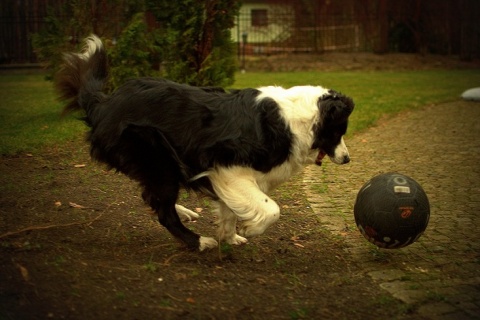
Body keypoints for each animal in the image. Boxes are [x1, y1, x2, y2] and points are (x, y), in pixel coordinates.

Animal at [56, 36, 354, 251]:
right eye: (340, 130)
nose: (348, 159)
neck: (298, 120)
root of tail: (103, 103)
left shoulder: (231, 176)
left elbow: (230, 209)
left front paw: (229, 236)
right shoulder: (227, 166)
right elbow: (271, 209)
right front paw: (249, 230)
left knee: (150, 197)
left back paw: (186, 213)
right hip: (159, 160)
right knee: (162, 209)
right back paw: (198, 242)